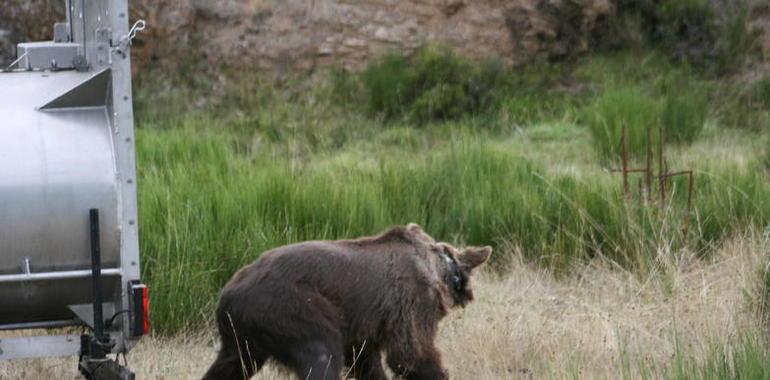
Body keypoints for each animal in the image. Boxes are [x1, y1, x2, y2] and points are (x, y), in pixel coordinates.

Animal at [202, 224, 492, 378]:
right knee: (321, 356)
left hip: (240, 335)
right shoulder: (410, 301)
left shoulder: (364, 329)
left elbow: (366, 362)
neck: (439, 268)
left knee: (229, 367)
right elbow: (411, 353)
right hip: (291, 309)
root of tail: (227, 293)